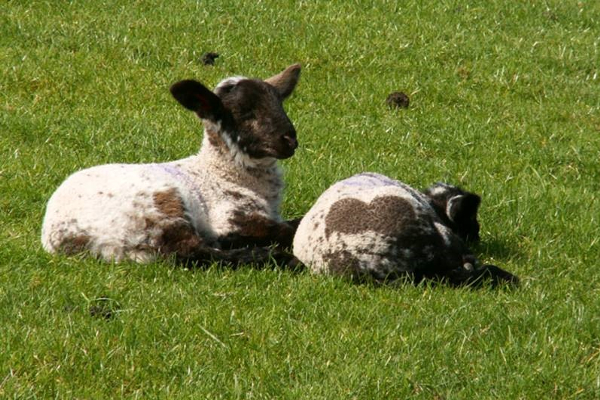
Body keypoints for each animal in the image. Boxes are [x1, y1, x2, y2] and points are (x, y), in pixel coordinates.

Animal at [42, 63, 302, 266]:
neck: (221, 172)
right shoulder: (230, 218)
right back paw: (279, 259)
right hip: (158, 209)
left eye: (280, 104)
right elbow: (289, 230)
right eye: (244, 113)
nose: (290, 138)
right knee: (193, 252)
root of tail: (62, 239)